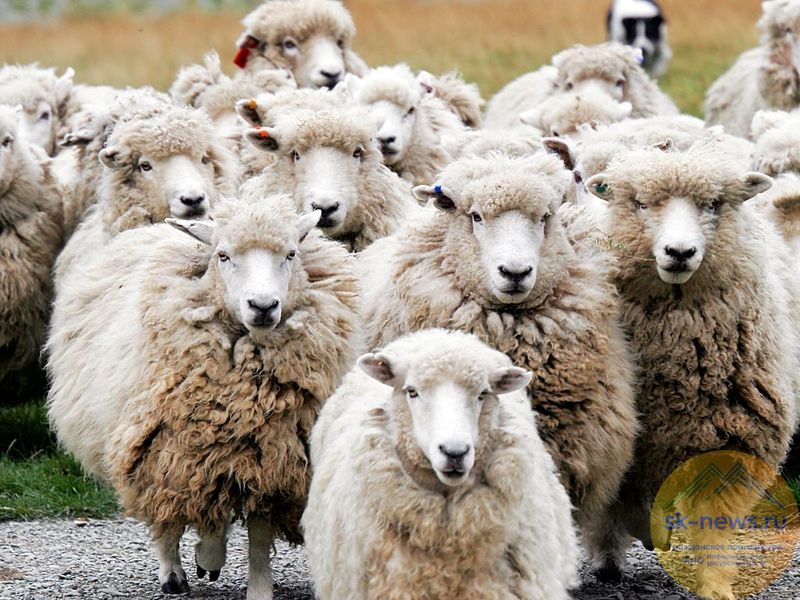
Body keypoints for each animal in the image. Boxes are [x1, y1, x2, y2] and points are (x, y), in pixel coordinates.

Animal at [47, 193, 359, 596]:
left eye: (291, 253)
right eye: (222, 255)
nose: (262, 306)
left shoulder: (272, 455)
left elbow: (258, 533)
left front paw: (258, 588)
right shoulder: (178, 448)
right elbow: (196, 516)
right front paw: (205, 557)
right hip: (155, 447)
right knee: (167, 515)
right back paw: (175, 574)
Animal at [584, 144, 800, 597]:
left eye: (714, 204)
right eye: (640, 203)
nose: (679, 253)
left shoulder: (731, 443)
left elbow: (713, 525)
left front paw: (716, 584)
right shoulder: (622, 440)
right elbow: (621, 500)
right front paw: (638, 536)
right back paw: (610, 558)